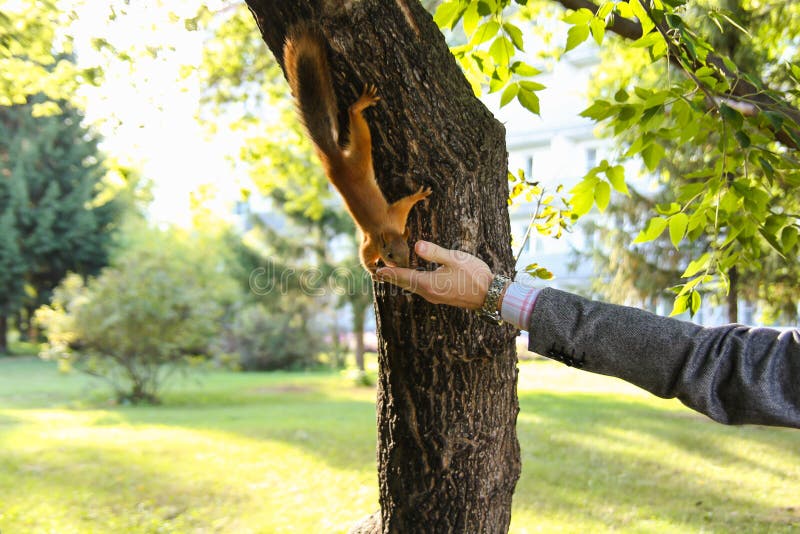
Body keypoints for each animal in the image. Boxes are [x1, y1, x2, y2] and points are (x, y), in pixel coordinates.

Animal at [283, 27, 431, 274]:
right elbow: (367, 250)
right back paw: (360, 104)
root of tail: (334, 160)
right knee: (355, 118)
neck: (387, 231)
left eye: (408, 250)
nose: (404, 267)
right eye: (389, 254)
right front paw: (372, 270)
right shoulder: (385, 226)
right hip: (360, 152)